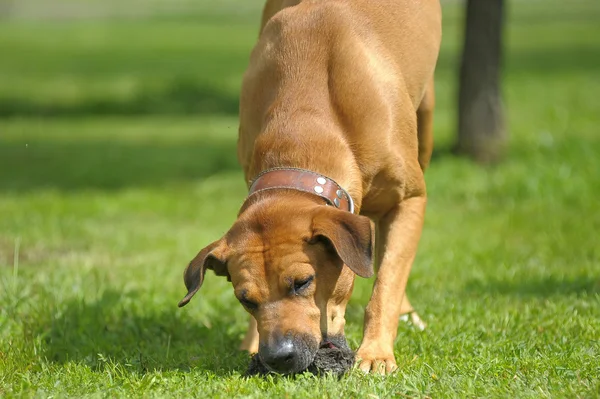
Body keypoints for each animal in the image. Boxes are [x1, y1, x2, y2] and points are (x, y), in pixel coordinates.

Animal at [178, 0, 440, 376]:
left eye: (303, 282)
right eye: (245, 299)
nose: (278, 357)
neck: (303, 127)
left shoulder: (409, 199)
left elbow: (386, 284)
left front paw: (375, 353)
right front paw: (251, 343)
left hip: (426, 117)